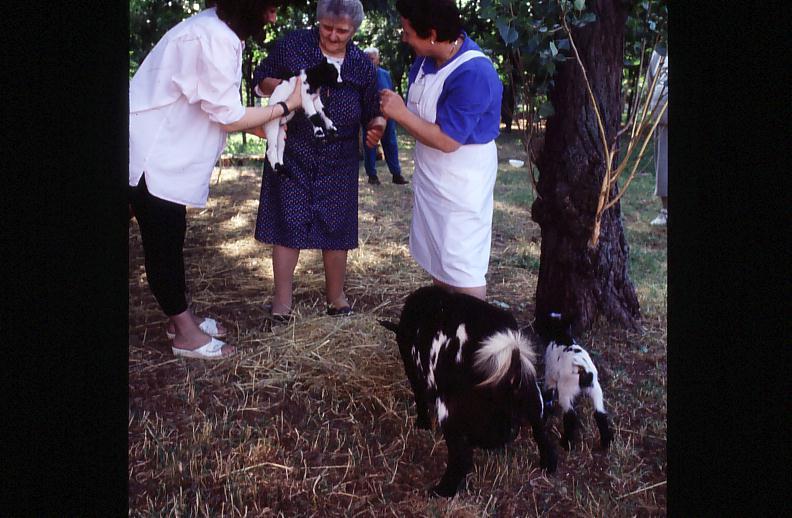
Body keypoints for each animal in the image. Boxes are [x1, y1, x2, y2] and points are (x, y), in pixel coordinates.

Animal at [378, 288, 556, 500]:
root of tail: (511, 374)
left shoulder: (415, 374)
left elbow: (420, 398)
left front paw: (422, 424)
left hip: (450, 413)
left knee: (461, 459)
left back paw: (442, 491)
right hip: (533, 400)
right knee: (541, 434)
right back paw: (547, 465)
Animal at [536, 314, 616, 452]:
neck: (561, 334)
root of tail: (583, 368)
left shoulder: (550, 375)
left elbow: (548, 395)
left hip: (566, 391)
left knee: (571, 415)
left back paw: (566, 443)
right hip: (596, 389)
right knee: (600, 414)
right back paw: (606, 441)